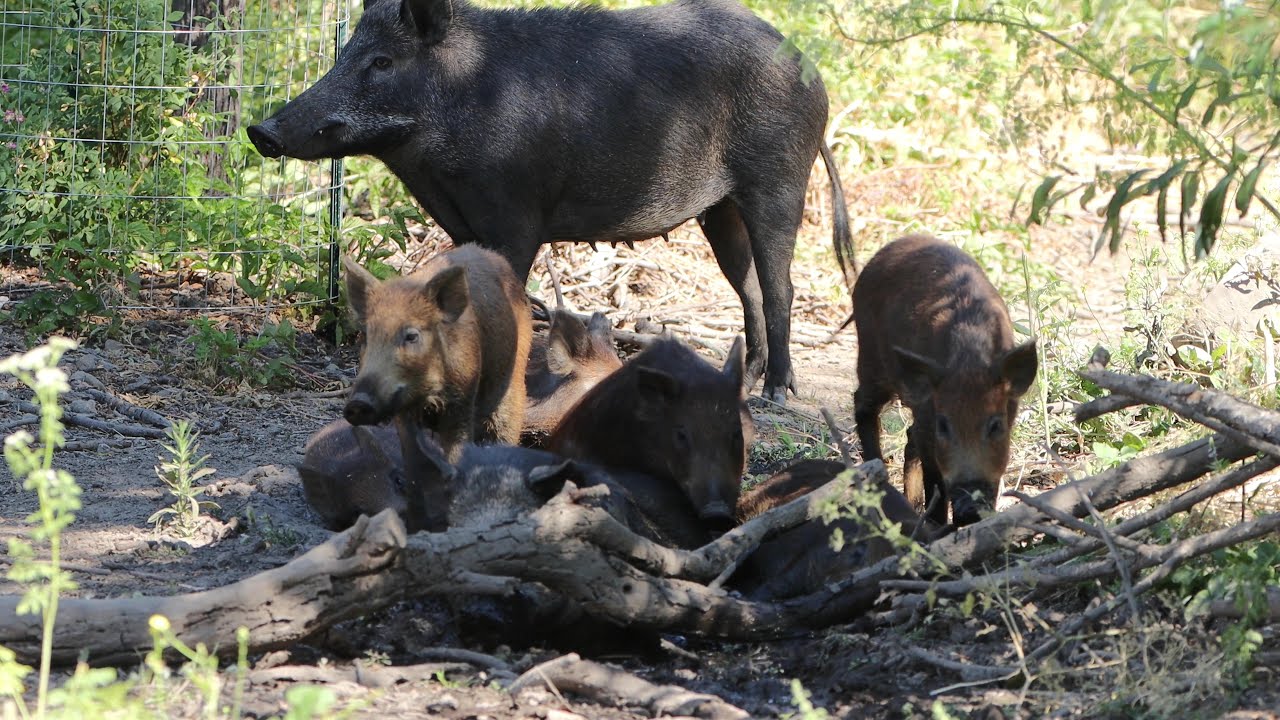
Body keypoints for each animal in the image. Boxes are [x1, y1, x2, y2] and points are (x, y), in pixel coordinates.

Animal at [245, 0, 857, 404]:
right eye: (345, 52)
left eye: (381, 62)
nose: (261, 130)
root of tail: (814, 74)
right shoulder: (461, 218)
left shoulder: (516, 215)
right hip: (720, 208)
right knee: (748, 284)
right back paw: (746, 384)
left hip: (778, 179)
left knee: (781, 286)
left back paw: (776, 394)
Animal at [341, 245, 532, 467]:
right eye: (366, 336)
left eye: (411, 336)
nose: (357, 403)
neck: (426, 396)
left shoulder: (462, 402)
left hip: (514, 383)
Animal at [852, 234, 1038, 527]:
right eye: (944, 425)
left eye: (996, 425)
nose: (969, 511)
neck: (969, 359)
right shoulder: (930, 417)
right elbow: (935, 478)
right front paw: (938, 526)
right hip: (870, 358)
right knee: (863, 404)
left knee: (909, 436)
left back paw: (913, 504)